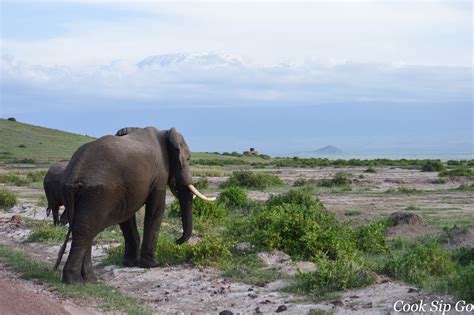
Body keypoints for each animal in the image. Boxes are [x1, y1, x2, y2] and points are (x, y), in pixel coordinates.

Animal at [55, 127, 215, 286]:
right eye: (187, 159)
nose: (176, 241)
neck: (165, 132)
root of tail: (74, 174)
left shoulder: (126, 189)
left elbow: (127, 217)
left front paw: (130, 263)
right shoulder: (159, 175)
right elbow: (155, 210)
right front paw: (152, 264)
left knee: (84, 228)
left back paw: (90, 279)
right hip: (97, 193)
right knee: (85, 230)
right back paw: (75, 281)